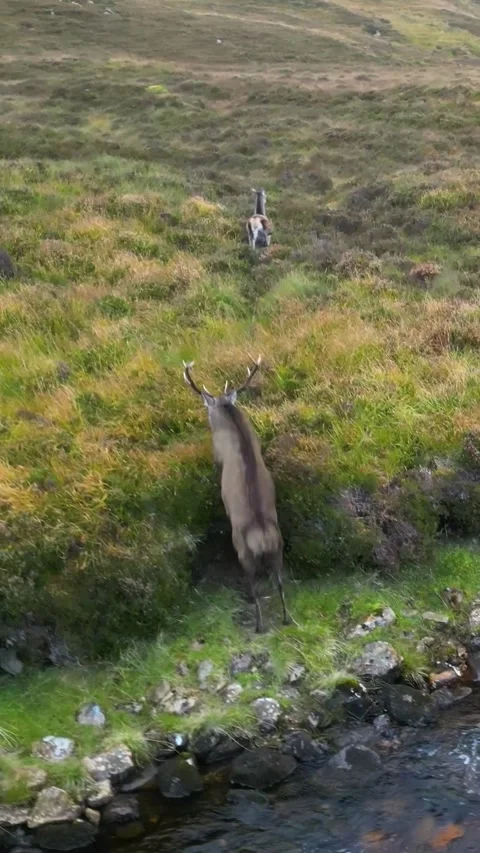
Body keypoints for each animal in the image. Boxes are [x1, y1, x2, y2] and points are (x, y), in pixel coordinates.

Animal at [183, 356, 289, 633]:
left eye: (208, 409)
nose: (207, 413)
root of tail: (263, 539)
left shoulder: (218, 455)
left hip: (243, 551)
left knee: (254, 587)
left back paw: (259, 625)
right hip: (279, 547)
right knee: (280, 581)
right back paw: (286, 618)